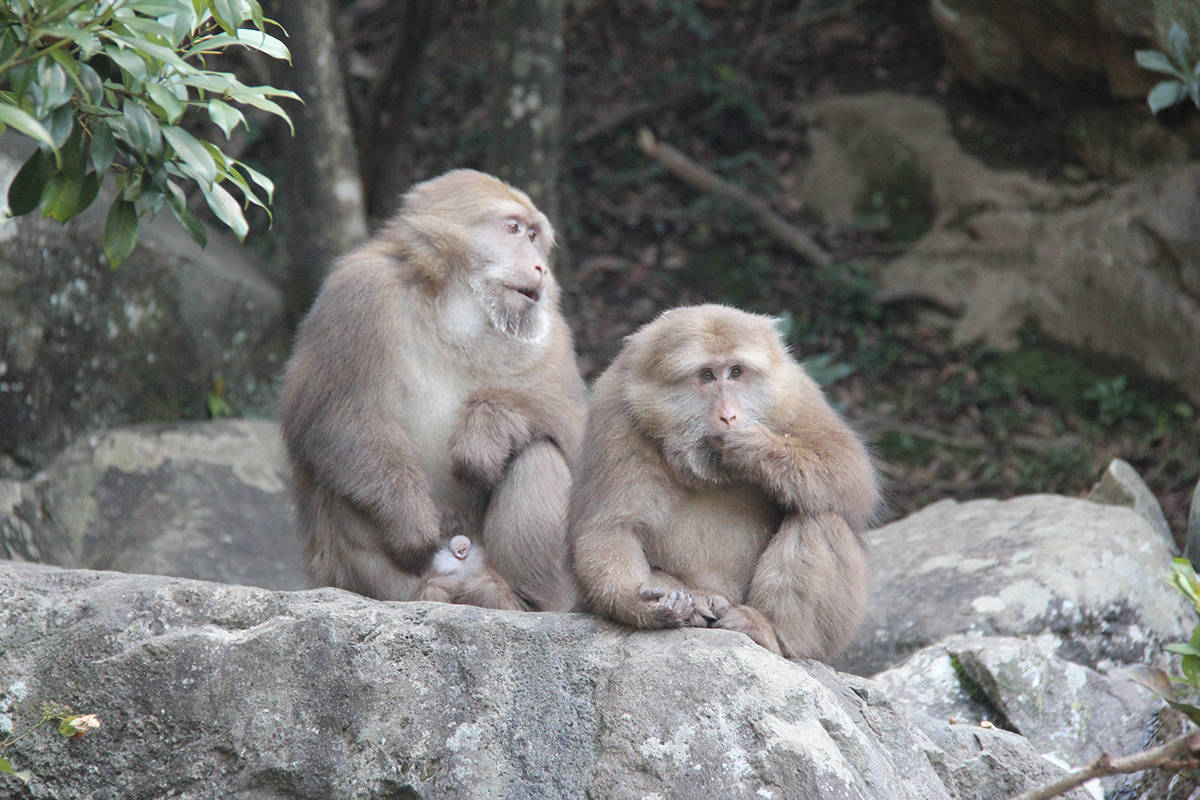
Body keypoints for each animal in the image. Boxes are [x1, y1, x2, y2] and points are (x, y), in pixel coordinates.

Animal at [278, 167, 583, 606]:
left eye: (534, 236)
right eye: (513, 229)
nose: (541, 266)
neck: (460, 307)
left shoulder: (551, 330)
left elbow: (584, 437)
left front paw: (491, 424)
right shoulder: (358, 292)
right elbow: (331, 420)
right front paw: (410, 520)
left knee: (537, 449)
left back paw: (517, 599)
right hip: (338, 572)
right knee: (343, 472)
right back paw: (419, 592)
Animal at [566, 303, 878, 662]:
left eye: (736, 372)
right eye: (706, 375)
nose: (729, 416)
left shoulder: (792, 389)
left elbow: (851, 474)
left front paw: (757, 448)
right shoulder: (614, 413)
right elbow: (611, 529)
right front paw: (641, 604)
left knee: (821, 516)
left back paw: (770, 632)